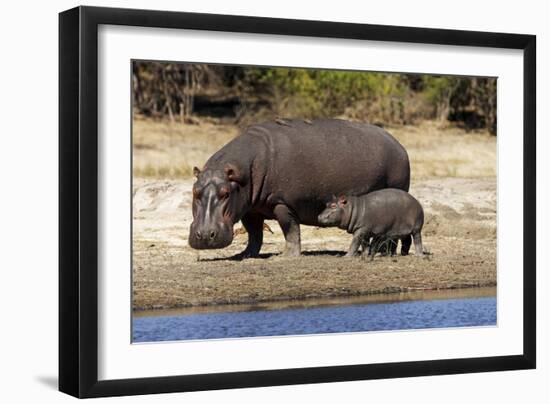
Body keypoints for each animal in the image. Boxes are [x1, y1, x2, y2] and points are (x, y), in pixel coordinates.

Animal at [190, 118, 410, 258]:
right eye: (194, 191)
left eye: (225, 193)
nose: (204, 235)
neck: (241, 174)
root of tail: (399, 144)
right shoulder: (249, 208)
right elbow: (254, 234)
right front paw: (245, 254)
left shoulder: (282, 203)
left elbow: (290, 230)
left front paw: (287, 256)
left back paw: (385, 253)